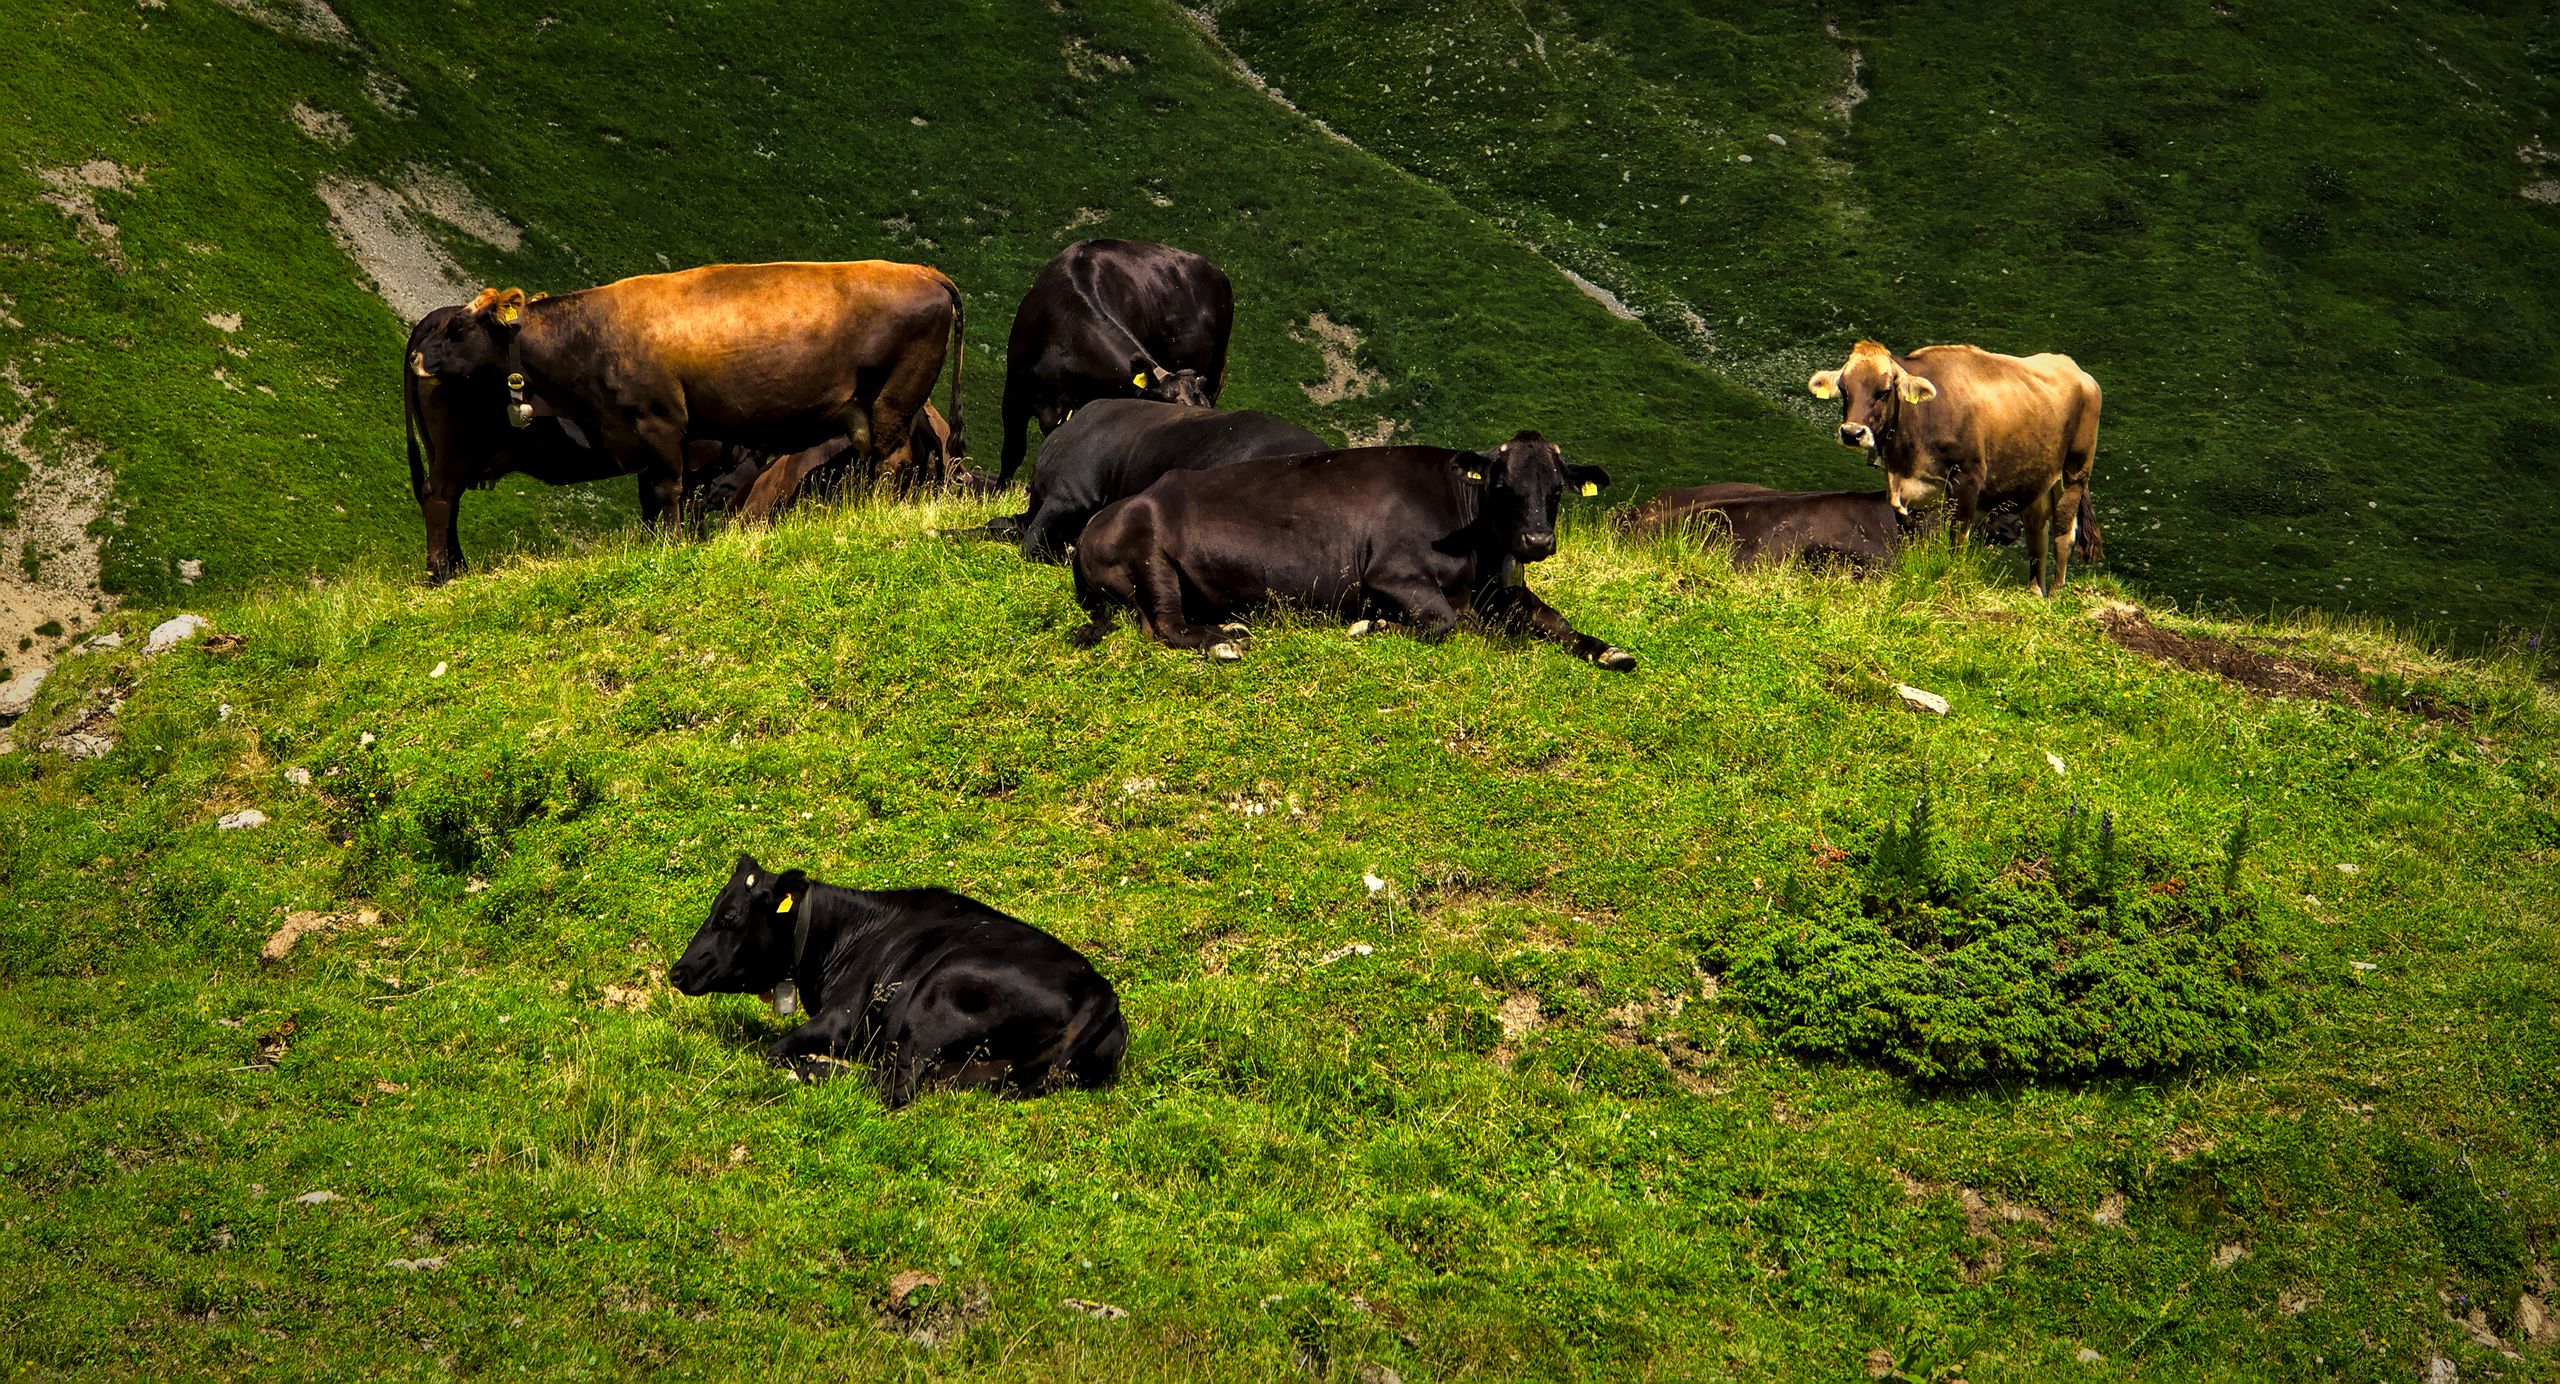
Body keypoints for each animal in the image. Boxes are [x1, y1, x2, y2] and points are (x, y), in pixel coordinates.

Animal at [406, 260, 965, 583]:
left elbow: (667, 496)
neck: (590, 337)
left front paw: (669, 547)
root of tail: (922, 271)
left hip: (894, 397)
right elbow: (660, 500)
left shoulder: (661, 427)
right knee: (441, 499)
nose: (421, 359)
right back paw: (450, 569)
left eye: (461, 329)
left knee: (890, 461)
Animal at [669, 855, 1127, 1107]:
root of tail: (1100, 988)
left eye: (728, 916)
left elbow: (775, 1050)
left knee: (896, 1085)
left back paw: (815, 1070)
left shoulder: (840, 1018)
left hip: (934, 996)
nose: (677, 971)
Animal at [1068, 431, 1635, 670]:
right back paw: (1223, 641)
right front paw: (1372, 625)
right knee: (1165, 625)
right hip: (1151, 557)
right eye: (1502, 485)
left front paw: (1608, 650)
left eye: (1556, 489)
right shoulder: (1390, 573)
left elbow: (1554, 619)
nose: (1536, 541)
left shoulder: (1501, 590)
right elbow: (1445, 622)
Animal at [1807, 340, 2102, 594]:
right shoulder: (1905, 492)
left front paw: (1953, 579)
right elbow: (1910, 541)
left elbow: (1957, 539)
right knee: (2037, 533)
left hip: (2075, 470)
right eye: (1844, 390)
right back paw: (2034, 592)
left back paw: (2056, 592)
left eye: (1884, 391)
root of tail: (2074, 368)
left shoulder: (1968, 479)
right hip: (2036, 478)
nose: (1851, 433)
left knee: (2063, 532)